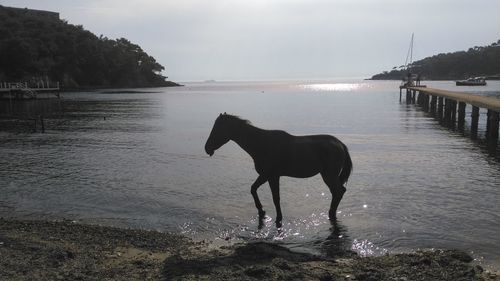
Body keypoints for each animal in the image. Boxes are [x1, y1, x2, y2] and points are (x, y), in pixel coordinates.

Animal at [203, 112, 352, 226]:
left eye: (217, 129)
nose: (207, 148)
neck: (262, 143)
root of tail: (340, 144)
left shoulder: (272, 176)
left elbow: (275, 198)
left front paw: (277, 217)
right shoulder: (266, 175)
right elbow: (254, 189)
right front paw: (261, 211)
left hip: (328, 175)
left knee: (339, 191)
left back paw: (331, 213)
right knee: (338, 192)